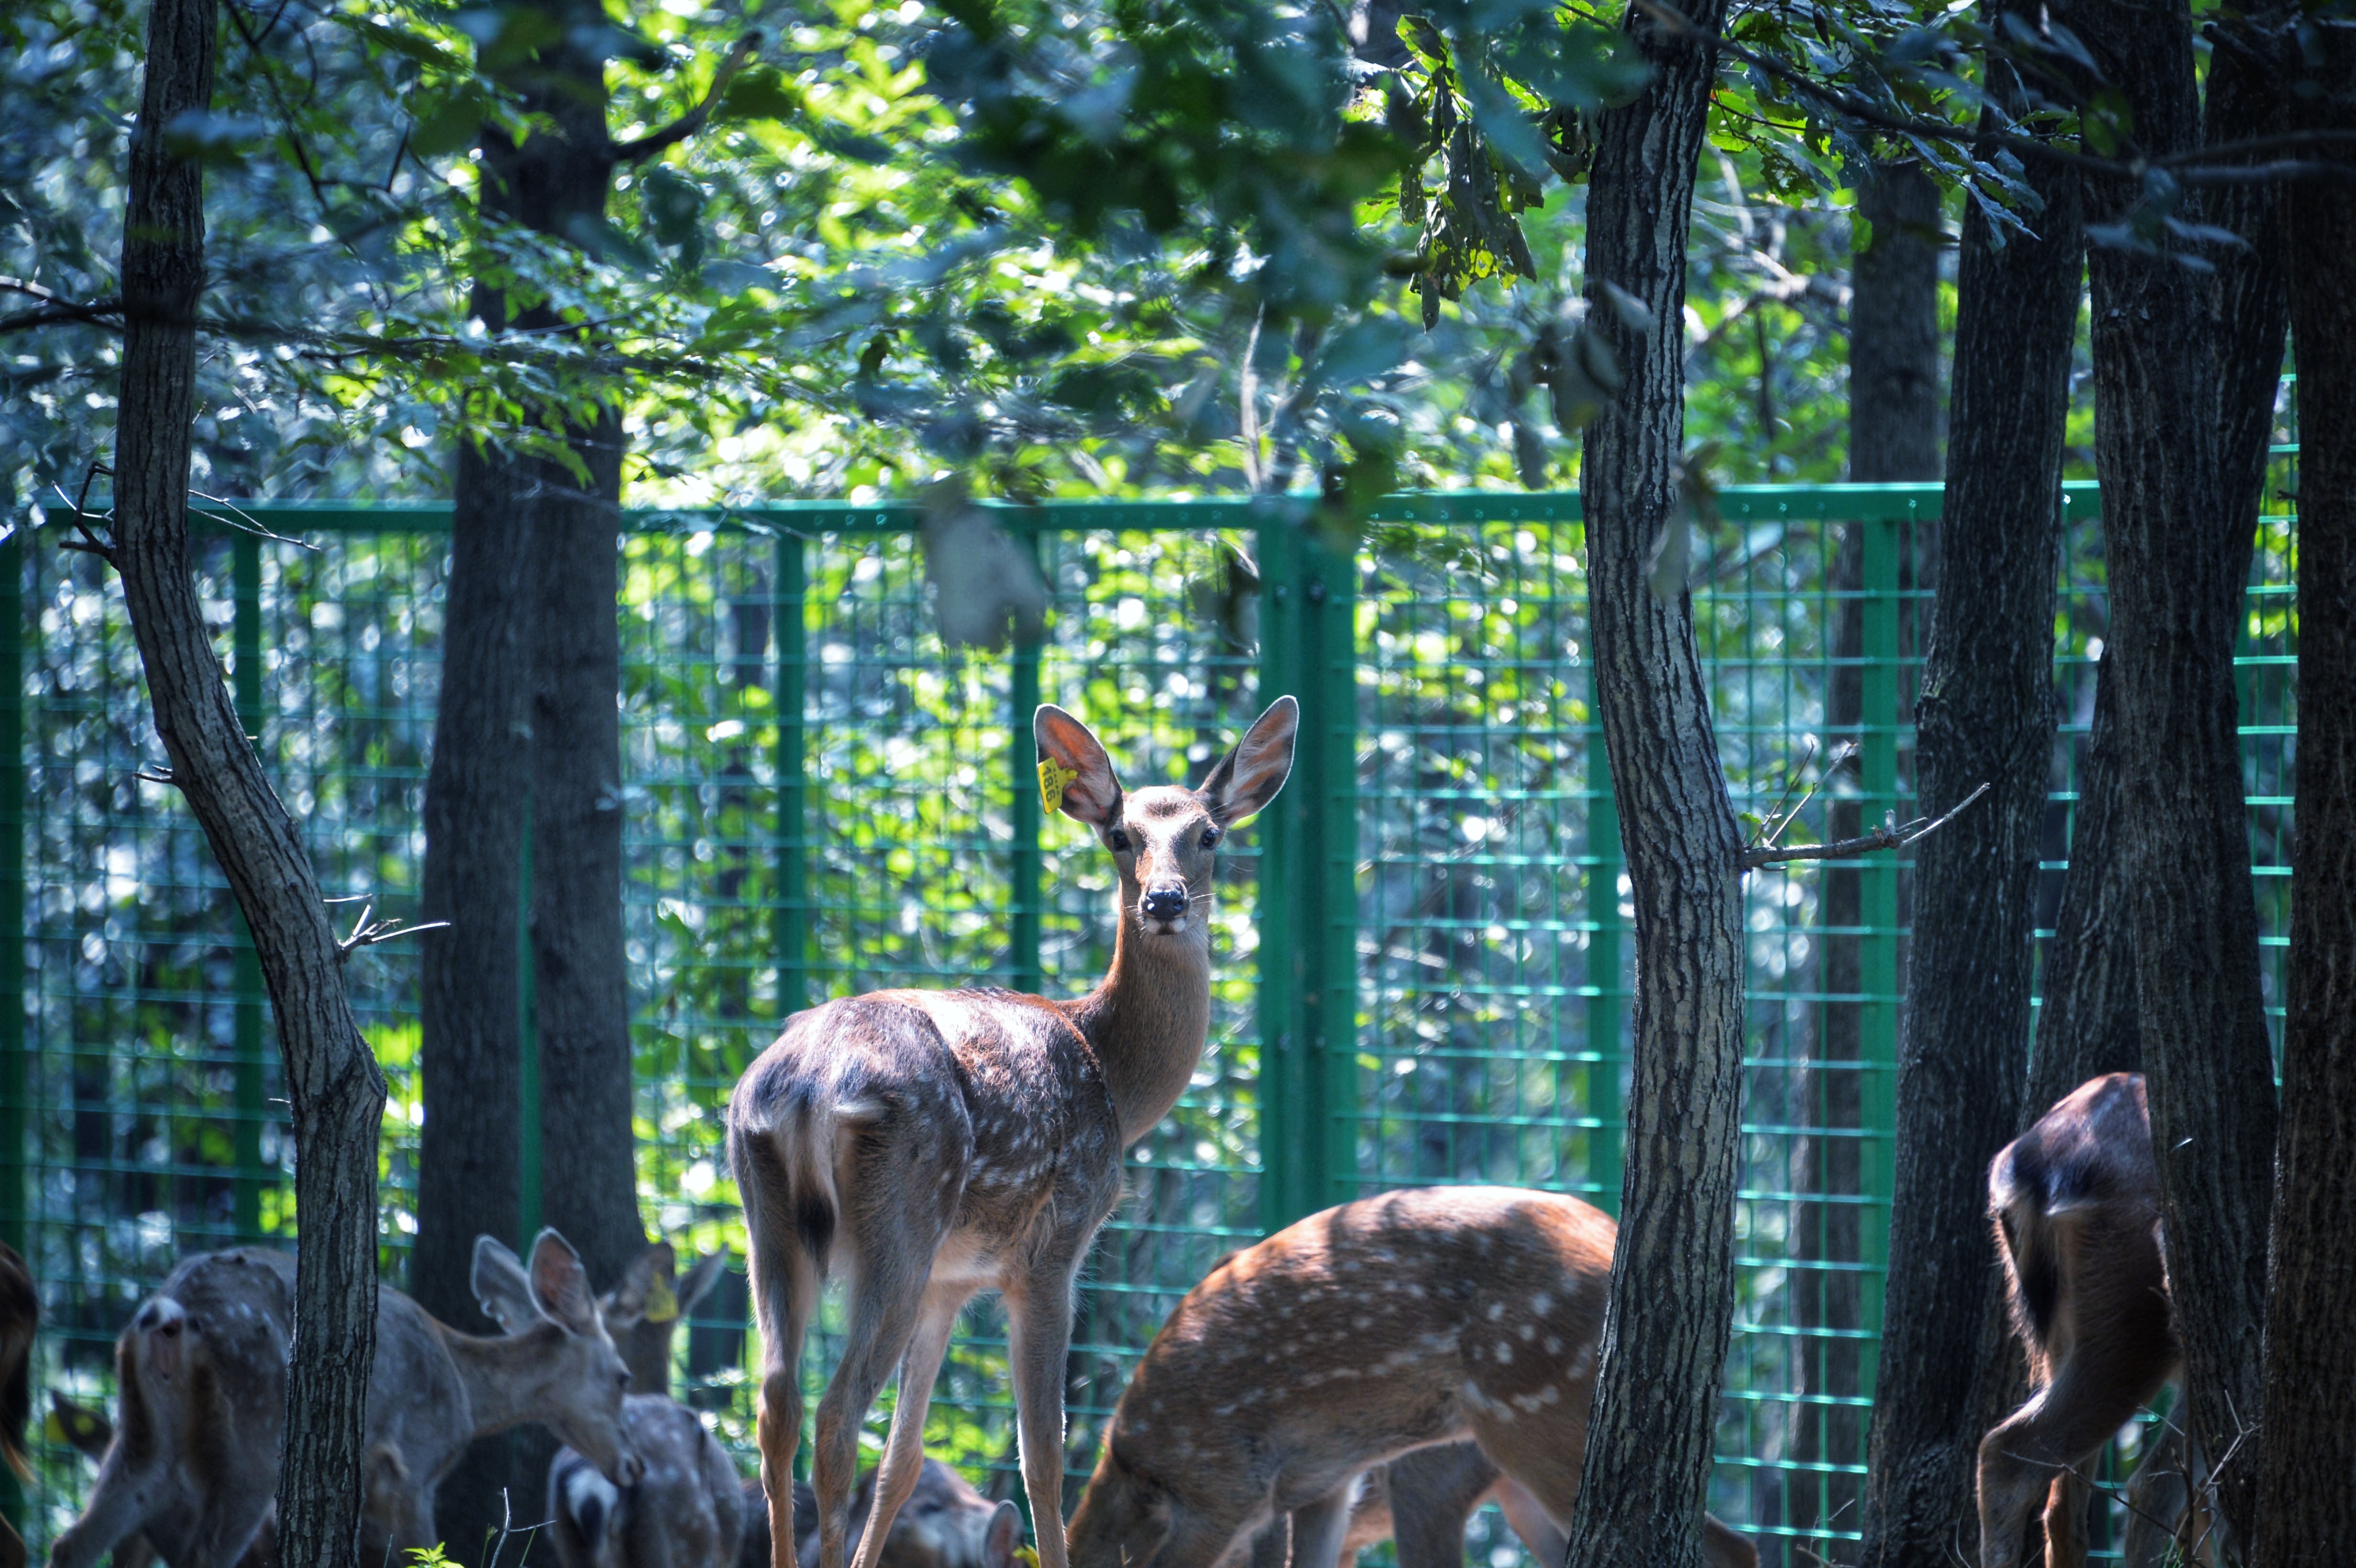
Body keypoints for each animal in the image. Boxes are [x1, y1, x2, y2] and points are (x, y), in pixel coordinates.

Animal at [49, 1229, 644, 1568]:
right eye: (623, 1378)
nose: (634, 1464)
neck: (465, 1396)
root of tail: (169, 1312)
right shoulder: (411, 1467)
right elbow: (426, 1559)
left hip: (142, 1433)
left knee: (72, 1542)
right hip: (253, 1441)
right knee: (202, 1557)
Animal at [727, 697, 1297, 1568]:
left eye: (1209, 834)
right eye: (1119, 835)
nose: (1164, 902)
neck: (1113, 1072)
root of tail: (808, 1081)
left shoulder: (953, 1279)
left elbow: (906, 1459)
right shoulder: (1053, 1248)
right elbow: (1042, 1455)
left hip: (769, 1212)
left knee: (778, 1405)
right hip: (903, 1210)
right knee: (836, 1412)